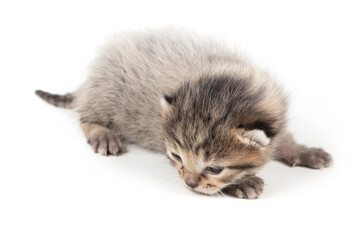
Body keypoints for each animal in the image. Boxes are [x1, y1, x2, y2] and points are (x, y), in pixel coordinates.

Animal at [36, 28, 332, 199]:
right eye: (177, 156)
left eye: (215, 168)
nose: (189, 183)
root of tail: (89, 82)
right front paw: (240, 184)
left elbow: (284, 139)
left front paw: (303, 151)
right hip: (106, 94)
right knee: (86, 115)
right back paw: (102, 134)